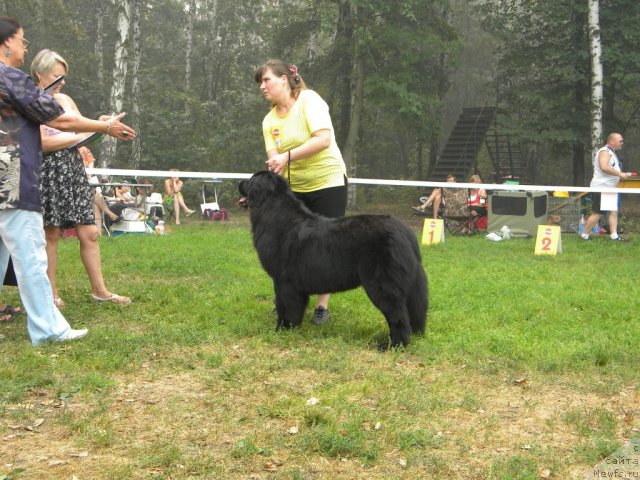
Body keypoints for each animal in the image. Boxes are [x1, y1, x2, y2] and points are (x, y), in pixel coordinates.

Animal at [238, 172, 428, 348]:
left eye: (250, 180)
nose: (239, 182)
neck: (272, 209)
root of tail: (404, 231)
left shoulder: (283, 281)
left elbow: (285, 306)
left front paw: (282, 330)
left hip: (382, 284)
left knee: (398, 316)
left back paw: (393, 345)